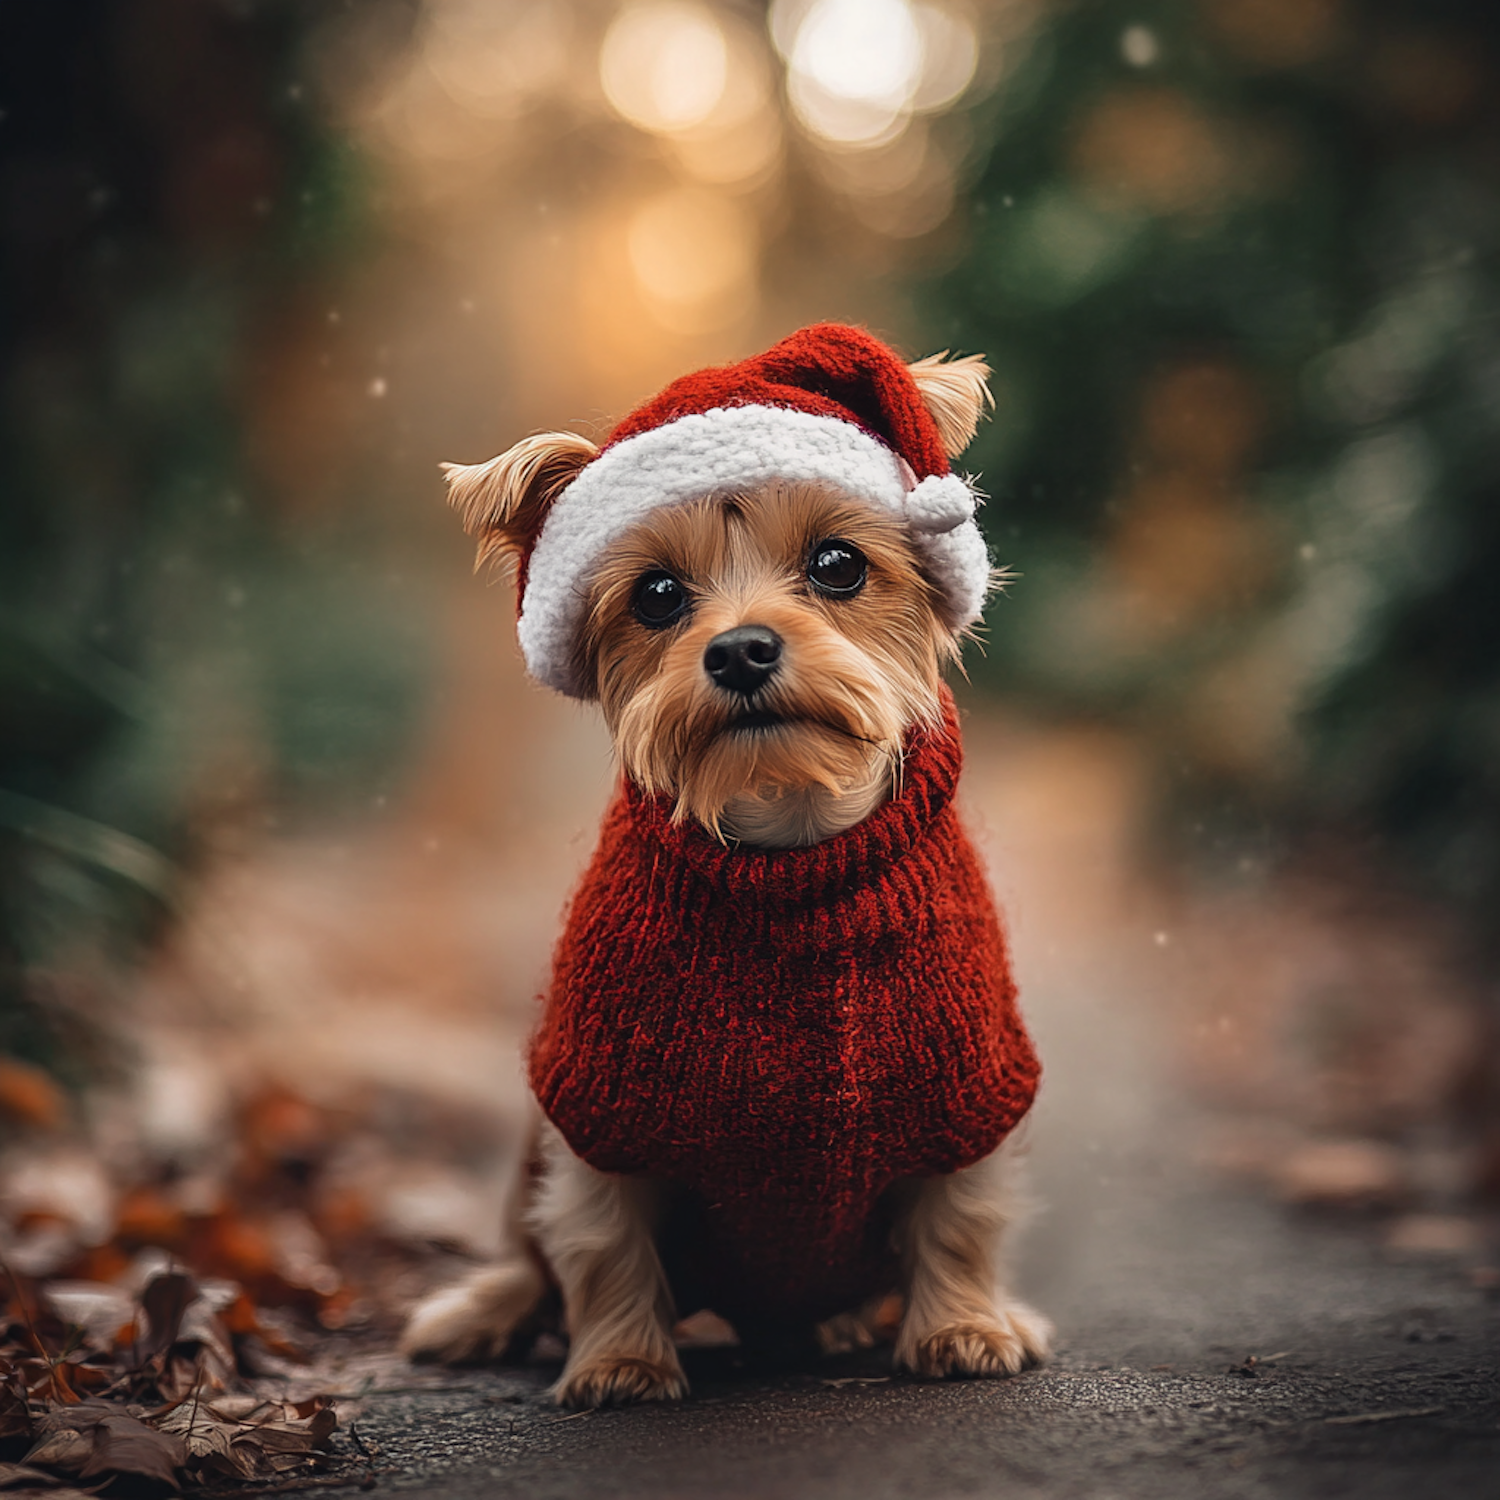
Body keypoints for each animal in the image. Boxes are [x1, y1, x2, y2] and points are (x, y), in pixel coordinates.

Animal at [405, 319, 1050, 1404]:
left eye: (838, 565)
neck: (789, 849)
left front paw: (966, 1327)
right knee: (529, 1268)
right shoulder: (602, 1111)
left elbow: (963, 1218)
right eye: (659, 594)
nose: (741, 650)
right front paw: (620, 1361)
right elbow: (601, 1245)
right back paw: (476, 1316)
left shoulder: (968, 1088)